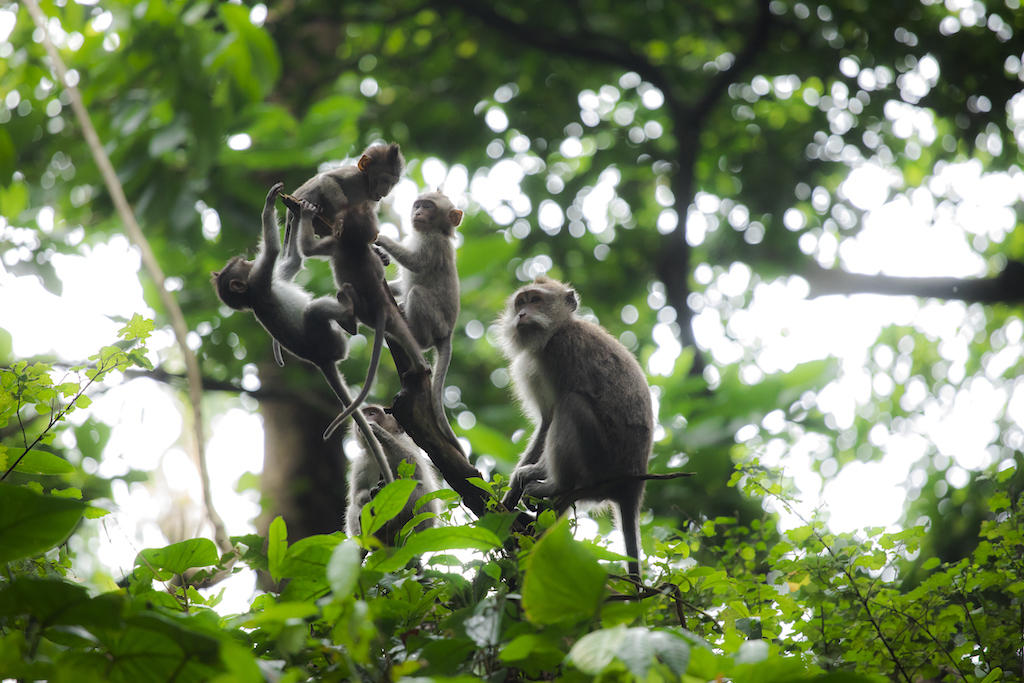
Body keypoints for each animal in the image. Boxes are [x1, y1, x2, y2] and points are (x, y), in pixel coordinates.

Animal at [211, 182, 394, 485]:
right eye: (243, 265)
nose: (247, 260)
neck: (250, 295)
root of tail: (322, 361)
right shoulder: (260, 281)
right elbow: (273, 251)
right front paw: (271, 204)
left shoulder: (269, 279)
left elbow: (293, 262)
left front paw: (298, 211)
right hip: (328, 339)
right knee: (313, 312)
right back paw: (349, 317)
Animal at [298, 202, 430, 439]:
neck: (354, 244)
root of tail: (380, 308)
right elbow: (378, 270)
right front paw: (382, 258)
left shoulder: (332, 243)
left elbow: (307, 249)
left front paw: (306, 212)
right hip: (389, 314)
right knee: (402, 332)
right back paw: (420, 365)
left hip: (364, 312)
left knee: (348, 298)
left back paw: (348, 319)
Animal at [346, 404, 442, 545]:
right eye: (364, 413)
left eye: (372, 413)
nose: (362, 420)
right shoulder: (361, 462)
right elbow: (357, 495)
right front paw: (368, 495)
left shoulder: (405, 443)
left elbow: (417, 474)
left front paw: (380, 432)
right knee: (353, 508)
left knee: (417, 489)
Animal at [375, 191, 464, 453]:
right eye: (418, 204)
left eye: (428, 206)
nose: (418, 212)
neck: (435, 231)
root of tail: (449, 333)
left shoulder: (433, 244)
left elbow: (416, 263)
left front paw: (381, 239)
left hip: (437, 323)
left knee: (416, 294)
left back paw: (415, 338)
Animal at [497, 276, 653, 580]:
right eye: (521, 303)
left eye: (536, 300)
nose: (522, 315)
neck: (558, 330)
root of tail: (633, 485)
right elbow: (546, 421)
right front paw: (512, 487)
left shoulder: (561, 351)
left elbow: (558, 410)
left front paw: (531, 473)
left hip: (601, 463)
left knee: (571, 404)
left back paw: (558, 484)